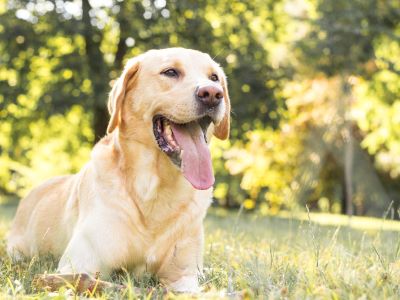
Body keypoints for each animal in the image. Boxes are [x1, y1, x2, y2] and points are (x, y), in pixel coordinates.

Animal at [6, 47, 231, 292]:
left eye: (214, 77)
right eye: (170, 72)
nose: (213, 94)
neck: (154, 190)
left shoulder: (184, 275)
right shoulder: (79, 262)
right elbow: (93, 280)